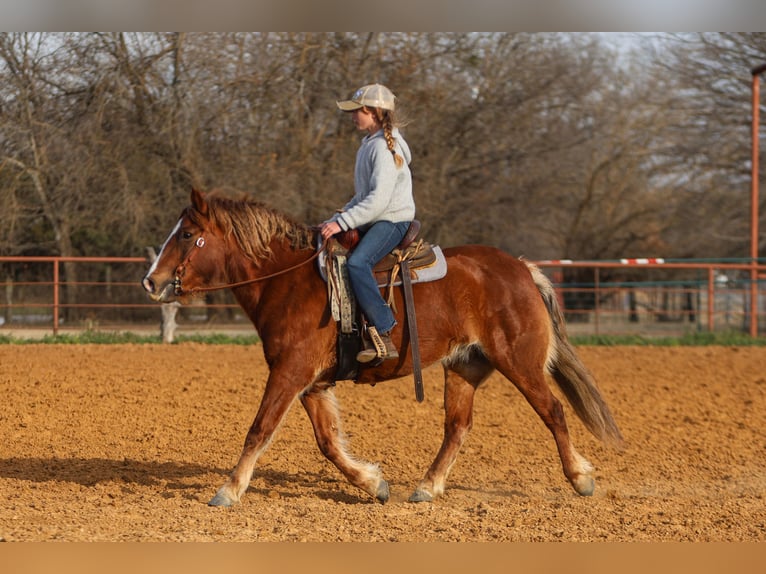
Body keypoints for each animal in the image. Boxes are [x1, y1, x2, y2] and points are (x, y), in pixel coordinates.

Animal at [142, 189, 624, 508]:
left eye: (186, 234)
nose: (151, 280)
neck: (288, 280)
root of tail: (522, 270)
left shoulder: (289, 372)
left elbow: (260, 429)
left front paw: (228, 489)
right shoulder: (312, 383)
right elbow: (328, 442)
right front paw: (372, 483)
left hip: (520, 363)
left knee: (553, 412)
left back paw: (580, 478)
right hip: (464, 367)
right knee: (457, 427)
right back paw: (427, 487)